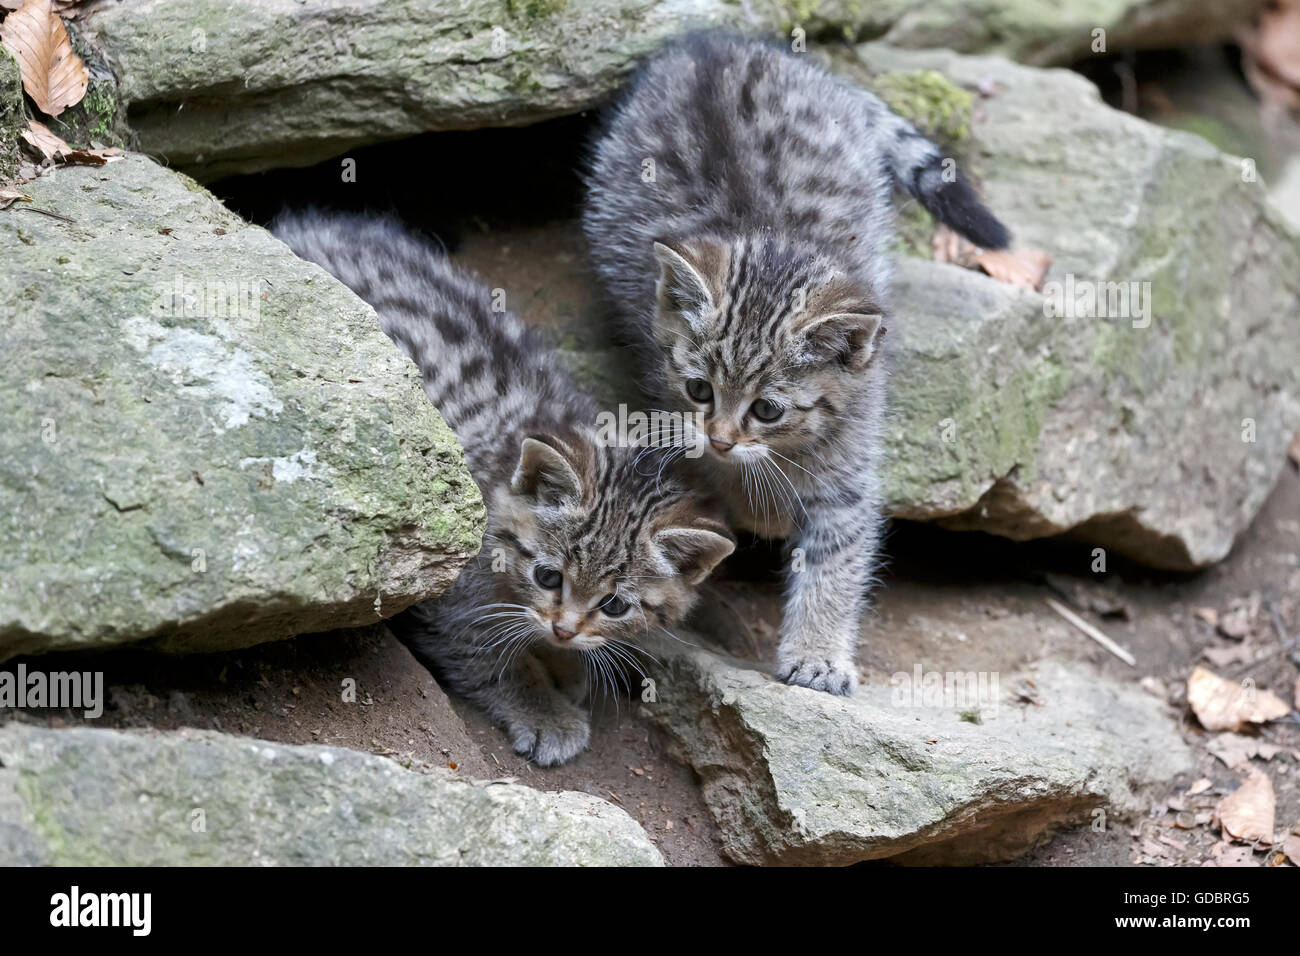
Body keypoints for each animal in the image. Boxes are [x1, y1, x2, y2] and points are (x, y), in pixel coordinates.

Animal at [273, 213, 733, 764]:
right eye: (548, 577)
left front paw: (564, 665)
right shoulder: (444, 581)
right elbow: (485, 651)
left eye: (616, 606)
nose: (564, 630)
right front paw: (543, 710)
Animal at [585, 33, 1008, 697]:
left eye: (767, 408)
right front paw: (749, 500)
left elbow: (837, 560)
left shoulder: (851, 461)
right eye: (699, 390)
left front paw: (817, 653)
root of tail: (712, 42)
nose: (722, 438)